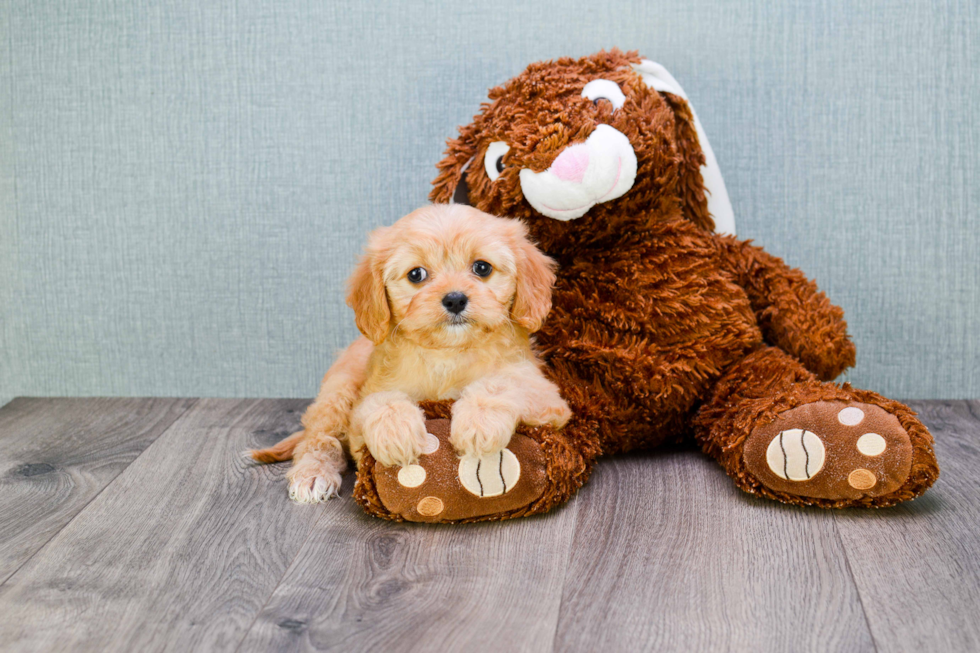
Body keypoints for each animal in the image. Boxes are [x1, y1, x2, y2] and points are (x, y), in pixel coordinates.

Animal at [251, 206, 576, 502]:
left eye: (482, 268)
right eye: (416, 274)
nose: (455, 299)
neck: (447, 354)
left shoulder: (546, 395)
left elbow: (501, 384)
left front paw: (478, 422)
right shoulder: (363, 410)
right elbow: (380, 403)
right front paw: (396, 432)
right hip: (337, 392)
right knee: (318, 439)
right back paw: (313, 474)